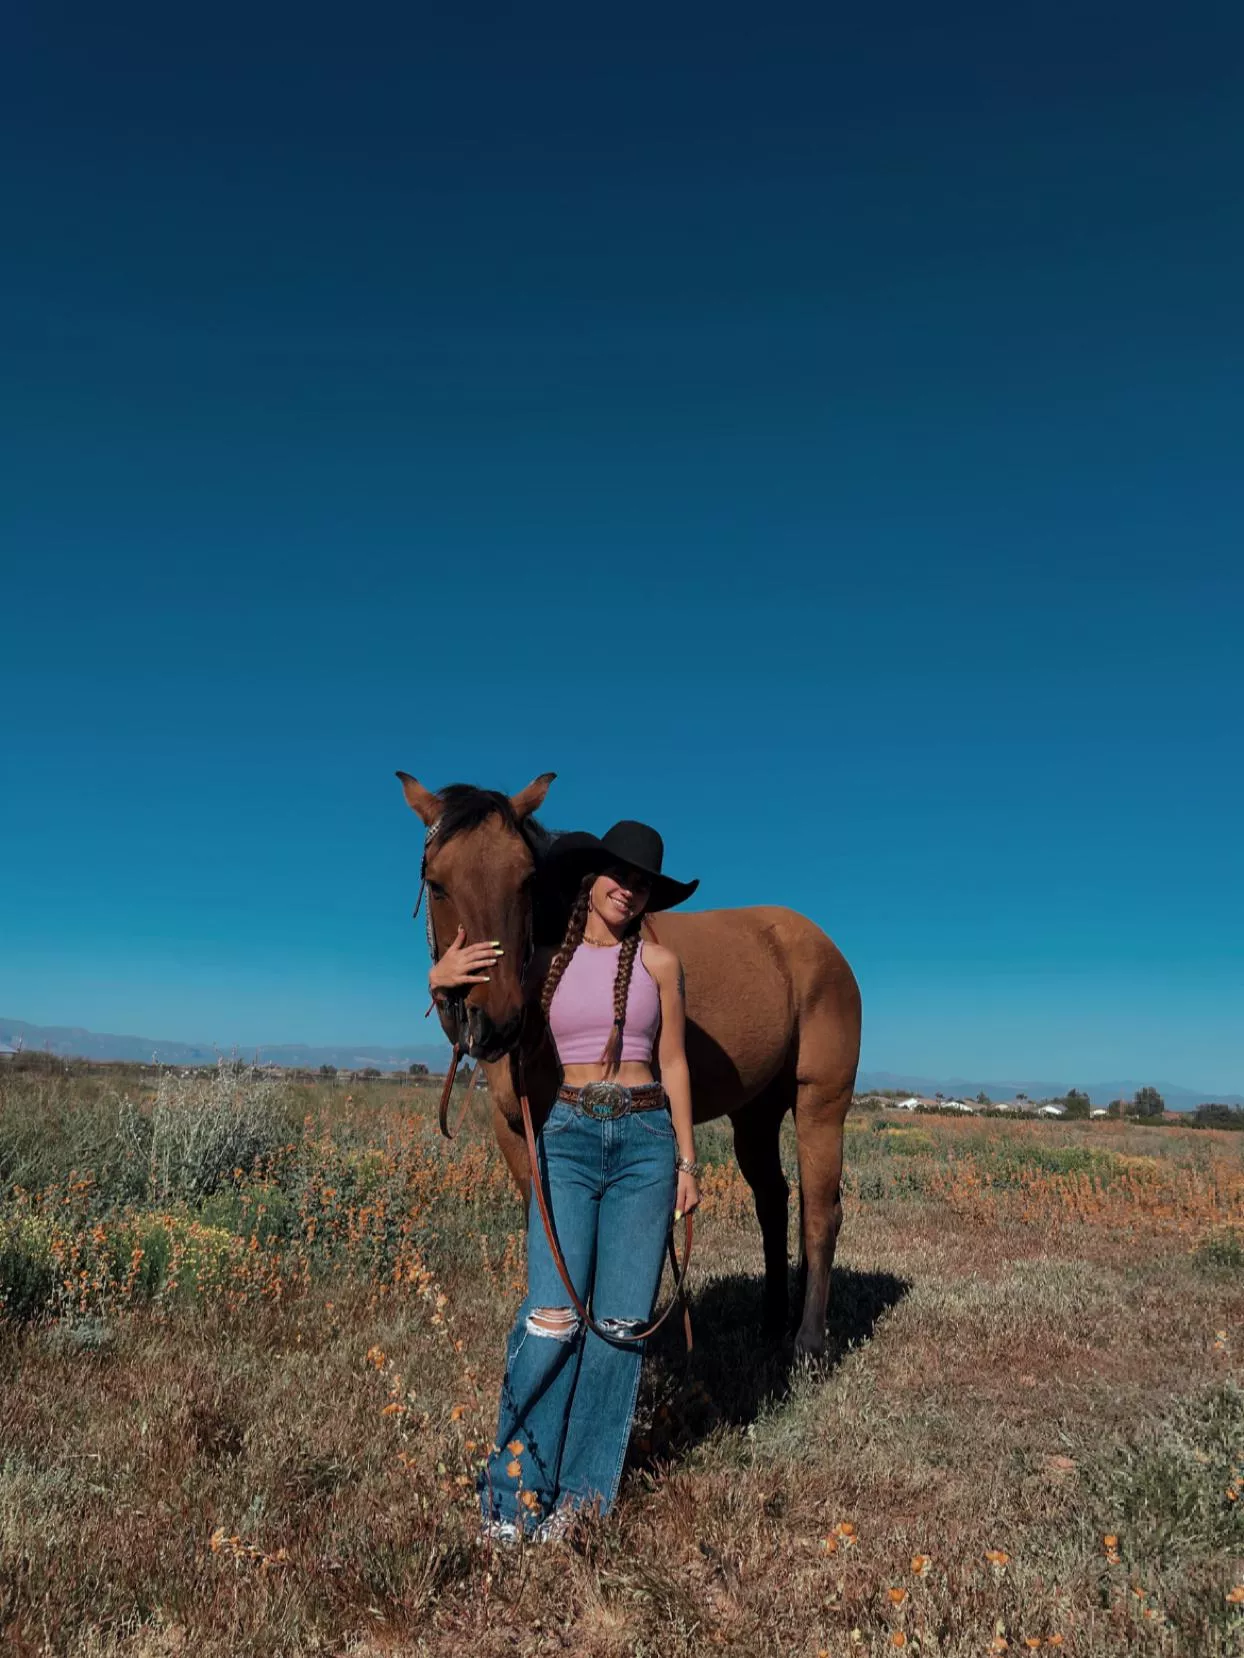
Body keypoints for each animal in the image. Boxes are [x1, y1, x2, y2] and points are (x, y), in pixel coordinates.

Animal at [397, 770, 862, 1360]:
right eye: (437, 883)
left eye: (526, 880)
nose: (496, 1019)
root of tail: (823, 947)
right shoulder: (517, 1131)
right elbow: (548, 1235)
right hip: (755, 1115)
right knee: (774, 1202)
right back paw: (773, 1319)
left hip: (820, 1104)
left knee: (820, 1213)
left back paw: (807, 1341)